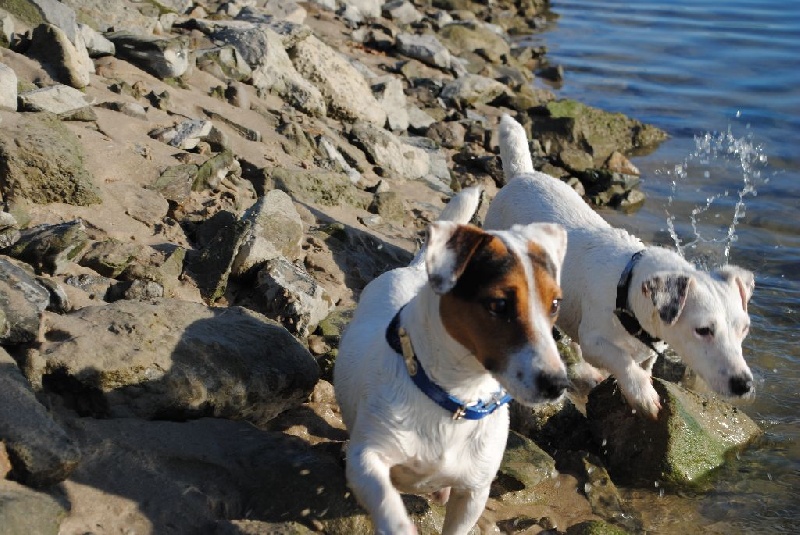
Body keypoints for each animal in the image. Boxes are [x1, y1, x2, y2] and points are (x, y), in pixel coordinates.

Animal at [334, 186, 572, 532]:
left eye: (554, 304)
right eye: (499, 304)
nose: (557, 385)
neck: (455, 397)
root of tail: (415, 269)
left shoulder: (473, 493)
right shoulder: (367, 460)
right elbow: (390, 508)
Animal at [488, 115, 756, 420]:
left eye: (744, 329)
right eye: (703, 330)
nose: (743, 384)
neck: (626, 286)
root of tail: (522, 175)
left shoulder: (647, 350)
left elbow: (643, 364)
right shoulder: (594, 340)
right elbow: (621, 359)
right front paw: (642, 394)